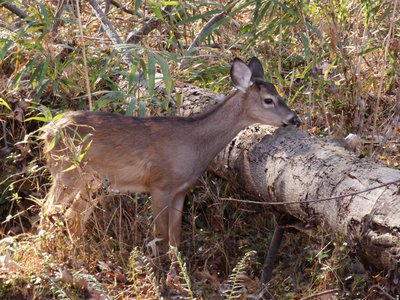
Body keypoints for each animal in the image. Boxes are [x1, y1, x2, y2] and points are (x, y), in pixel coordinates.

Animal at [40, 56, 302, 258]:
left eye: (279, 94)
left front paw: (178, 278)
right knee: (47, 209)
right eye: (268, 100)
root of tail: (48, 130)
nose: (295, 119)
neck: (194, 144)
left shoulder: (181, 190)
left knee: (73, 216)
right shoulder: (159, 184)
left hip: (92, 181)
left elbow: (175, 238)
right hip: (67, 172)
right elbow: (160, 235)